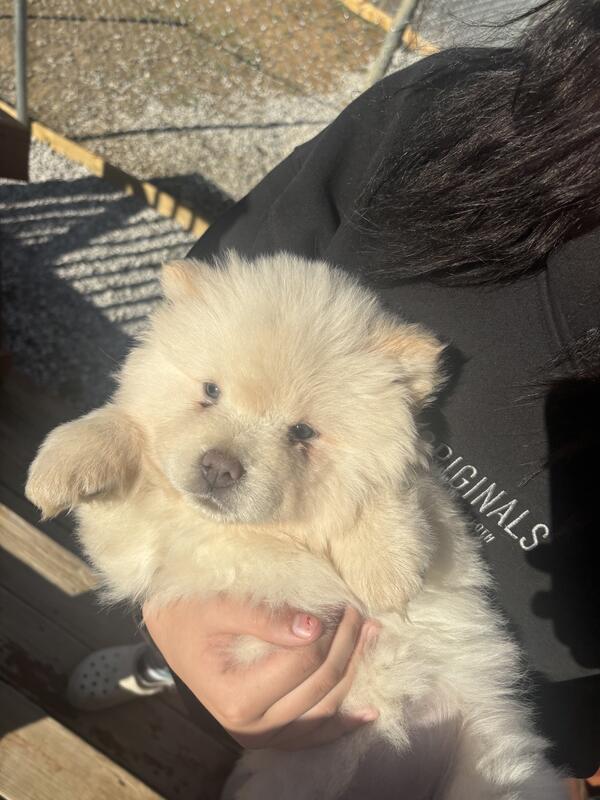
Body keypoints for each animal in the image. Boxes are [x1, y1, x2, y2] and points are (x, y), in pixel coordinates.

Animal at [27, 251, 565, 799]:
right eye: (210, 391)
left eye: (302, 432)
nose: (220, 467)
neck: (262, 533)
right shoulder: (146, 548)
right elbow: (126, 431)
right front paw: (61, 465)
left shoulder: (419, 501)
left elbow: (389, 486)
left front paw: (387, 574)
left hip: (497, 770)